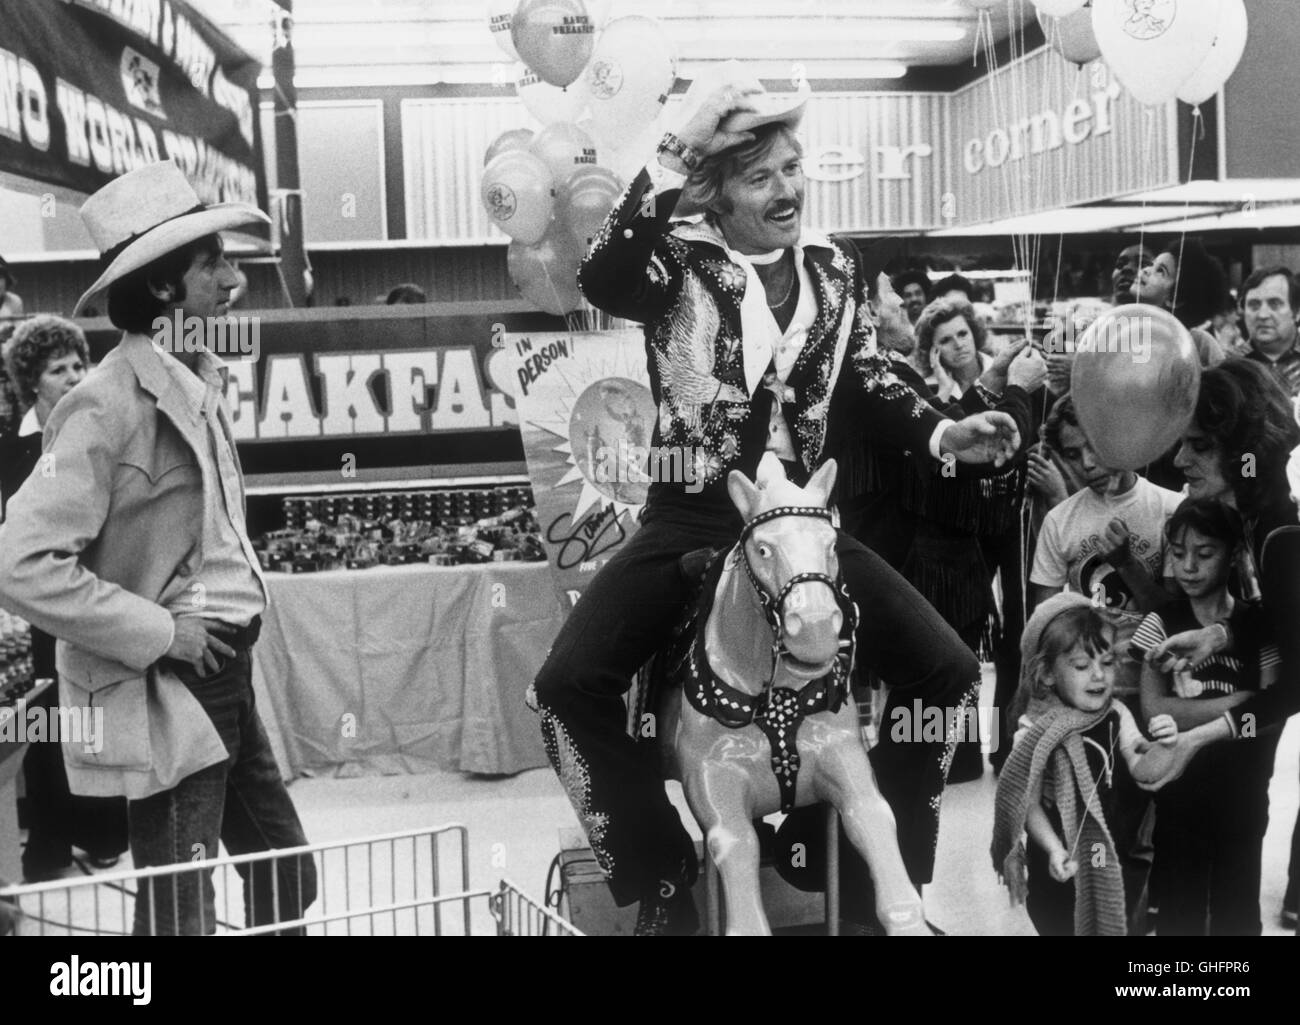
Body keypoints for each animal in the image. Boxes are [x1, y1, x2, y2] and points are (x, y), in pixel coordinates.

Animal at [647, 452, 930, 931]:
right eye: (763, 549)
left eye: (831, 545)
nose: (814, 629)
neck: (775, 697)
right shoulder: (714, 786)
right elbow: (738, 851)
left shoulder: (845, 765)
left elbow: (875, 824)